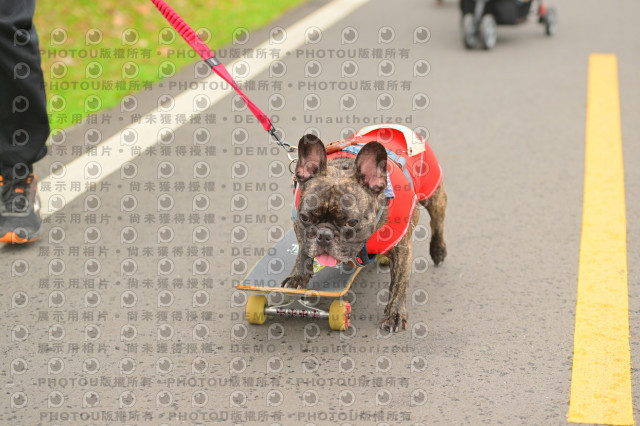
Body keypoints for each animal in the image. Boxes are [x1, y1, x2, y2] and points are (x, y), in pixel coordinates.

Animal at [282, 131, 447, 332]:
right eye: (305, 217)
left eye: (352, 222)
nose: (324, 235)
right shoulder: (298, 225)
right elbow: (303, 250)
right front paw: (298, 277)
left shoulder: (402, 250)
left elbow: (399, 284)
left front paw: (395, 314)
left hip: (433, 194)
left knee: (437, 221)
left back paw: (438, 250)